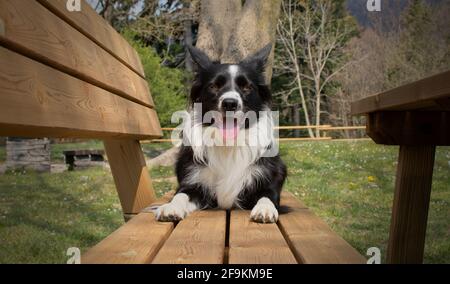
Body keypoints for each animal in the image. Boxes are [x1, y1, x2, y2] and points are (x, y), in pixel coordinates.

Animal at [156, 43, 286, 223]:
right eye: (214, 86)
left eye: (247, 87)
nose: (230, 103)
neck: (228, 144)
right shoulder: (193, 183)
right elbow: (180, 195)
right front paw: (171, 207)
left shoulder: (267, 181)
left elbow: (267, 196)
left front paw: (265, 209)